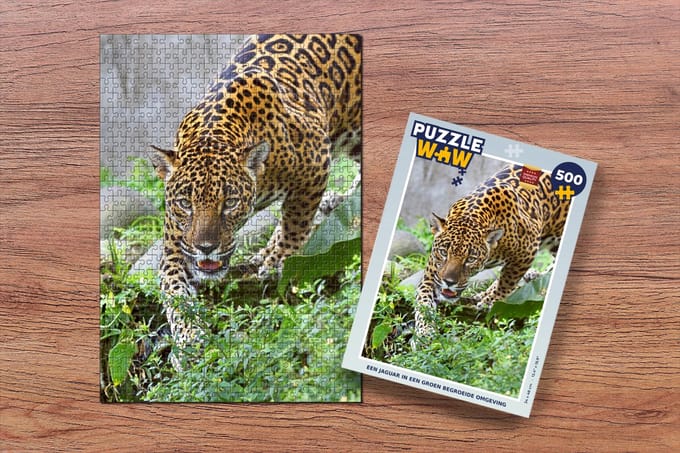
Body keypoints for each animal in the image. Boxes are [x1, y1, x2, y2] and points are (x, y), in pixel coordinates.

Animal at [150, 34, 362, 367]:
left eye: (230, 202)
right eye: (185, 203)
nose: (206, 247)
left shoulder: (316, 162)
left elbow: (295, 223)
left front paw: (277, 261)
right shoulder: (176, 244)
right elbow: (174, 291)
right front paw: (189, 340)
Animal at [413, 164, 570, 338]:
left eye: (470, 259)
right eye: (443, 252)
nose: (449, 282)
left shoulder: (528, 249)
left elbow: (506, 282)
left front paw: (489, 301)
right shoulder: (432, 274)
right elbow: (423, 301)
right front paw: (424, 332)